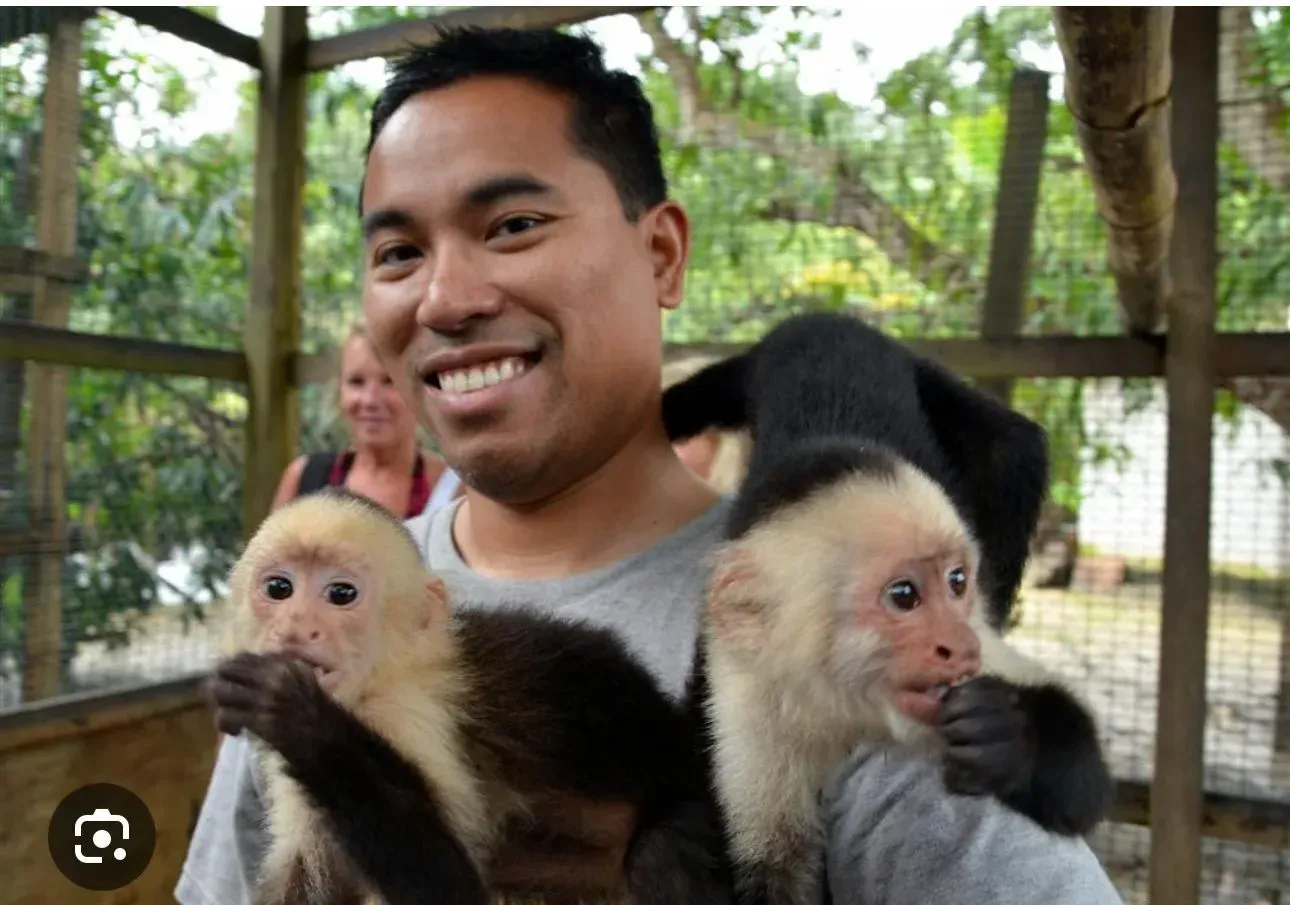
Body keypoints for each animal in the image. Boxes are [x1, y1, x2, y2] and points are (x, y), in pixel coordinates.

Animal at [209, 487, 731, 905]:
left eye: (341, 594)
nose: (297, 626)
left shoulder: (404, 713)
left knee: (659, 849)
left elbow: (454, 890)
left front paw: (297, 716)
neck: (382, 676)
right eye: (280, 588)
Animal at [663, 312, 1113, 905]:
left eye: (957, 582)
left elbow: (1083, 791)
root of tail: (818, 319)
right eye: (903, 596)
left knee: (1011, 450)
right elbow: (766, 871)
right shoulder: (746, 694)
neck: (845, 704)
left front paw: (1010, 734)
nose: (959, 645)